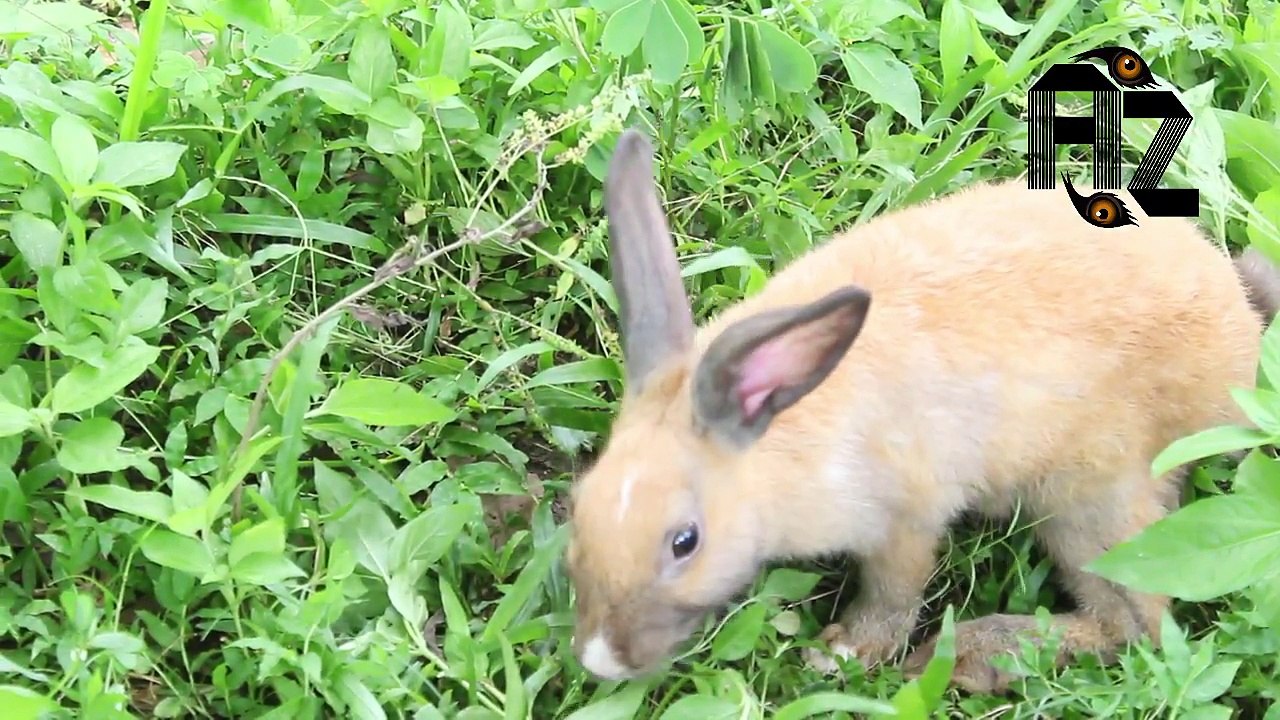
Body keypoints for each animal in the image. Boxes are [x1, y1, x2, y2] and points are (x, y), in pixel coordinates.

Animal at [563, 128, 1280, 695]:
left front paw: (844, 653)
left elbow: (896, 592)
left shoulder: (903, 520)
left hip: (1093, 502)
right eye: (579, 507)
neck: (769, 453)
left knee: (1135, 625)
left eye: (685, 542)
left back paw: (966, 655)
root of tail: (1240, 334)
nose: (600, 660)